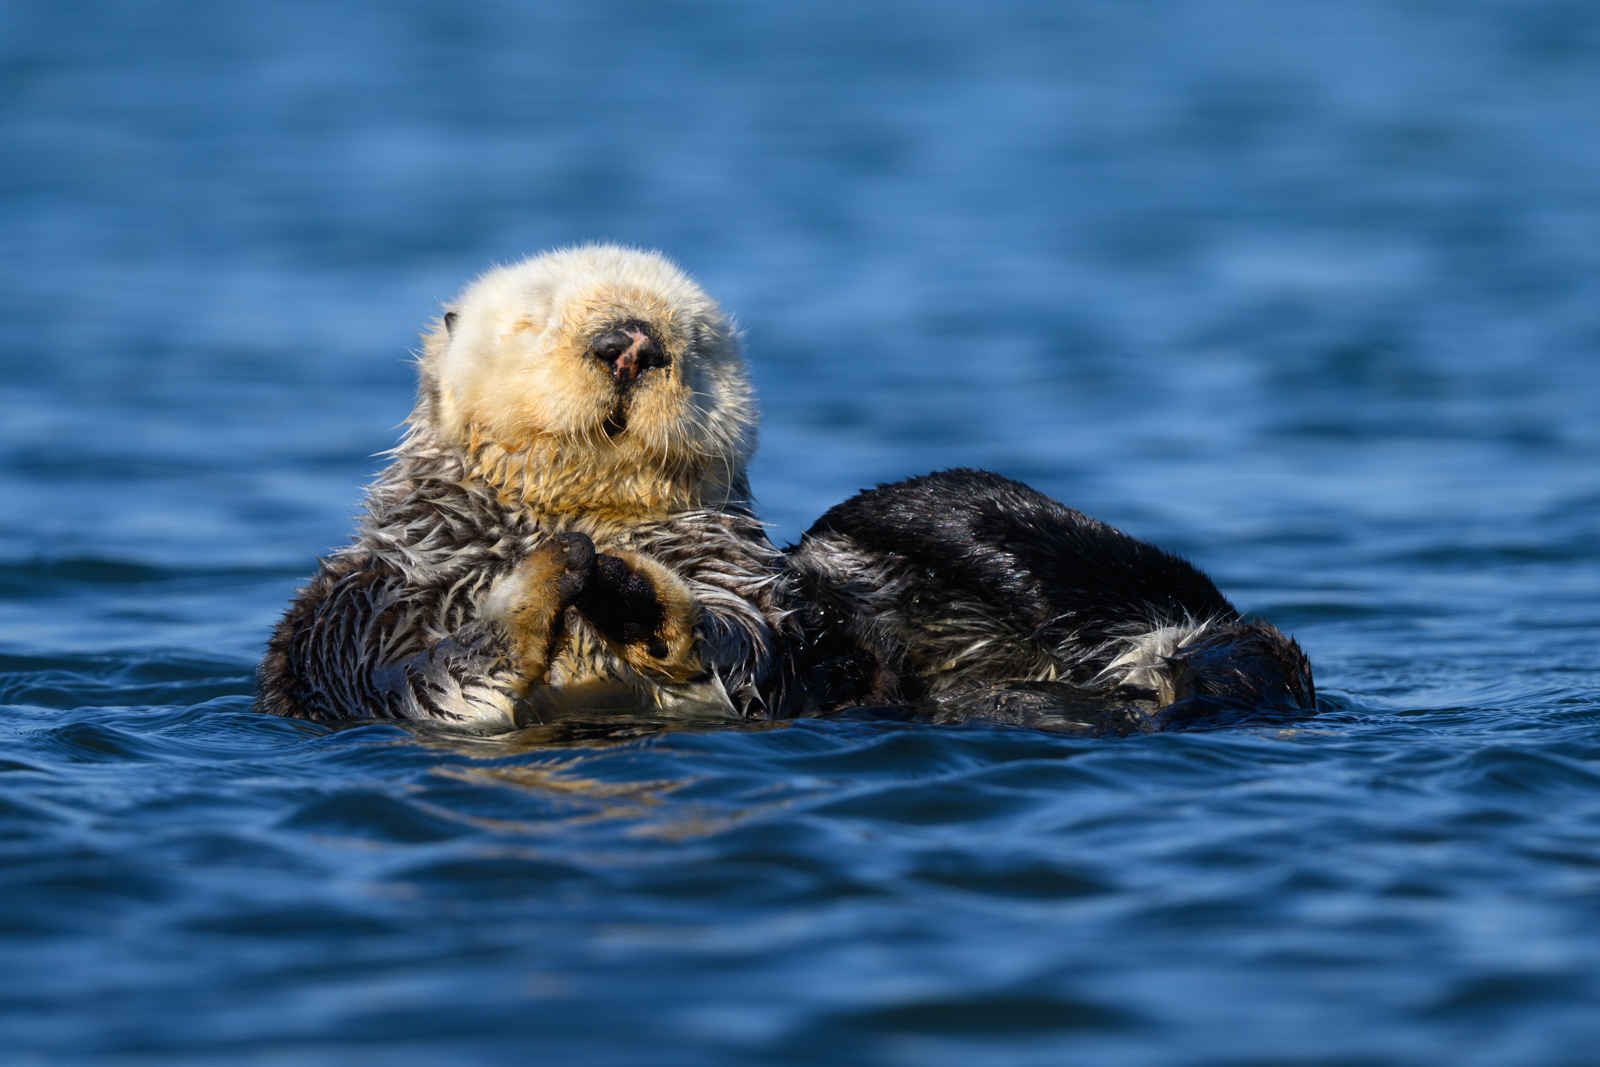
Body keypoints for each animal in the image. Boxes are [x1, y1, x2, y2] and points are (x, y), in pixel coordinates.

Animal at [257, 246, 801, 727]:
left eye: (698, 339)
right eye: (535, 320)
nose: (630, 346)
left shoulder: (730, 570)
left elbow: (744, 636)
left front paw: (633, 592)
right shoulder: (368, 606)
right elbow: (410, 681)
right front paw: (538, 587)